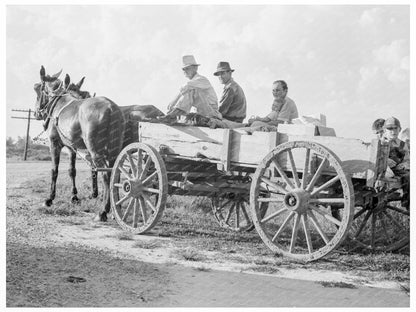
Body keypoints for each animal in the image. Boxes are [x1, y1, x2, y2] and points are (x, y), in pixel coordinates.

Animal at [33, 66, 125, 222]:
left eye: (37, 89)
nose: (36, 113)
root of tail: (111, 108)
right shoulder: (72, 148)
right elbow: (72, 171)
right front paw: (74, 197)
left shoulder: (54, 144)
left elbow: (54, 170)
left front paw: (49, 199)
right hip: (114, 150)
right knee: (115, 173)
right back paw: (114, 210)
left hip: (96, 151)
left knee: (105, 175)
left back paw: (103, 211)